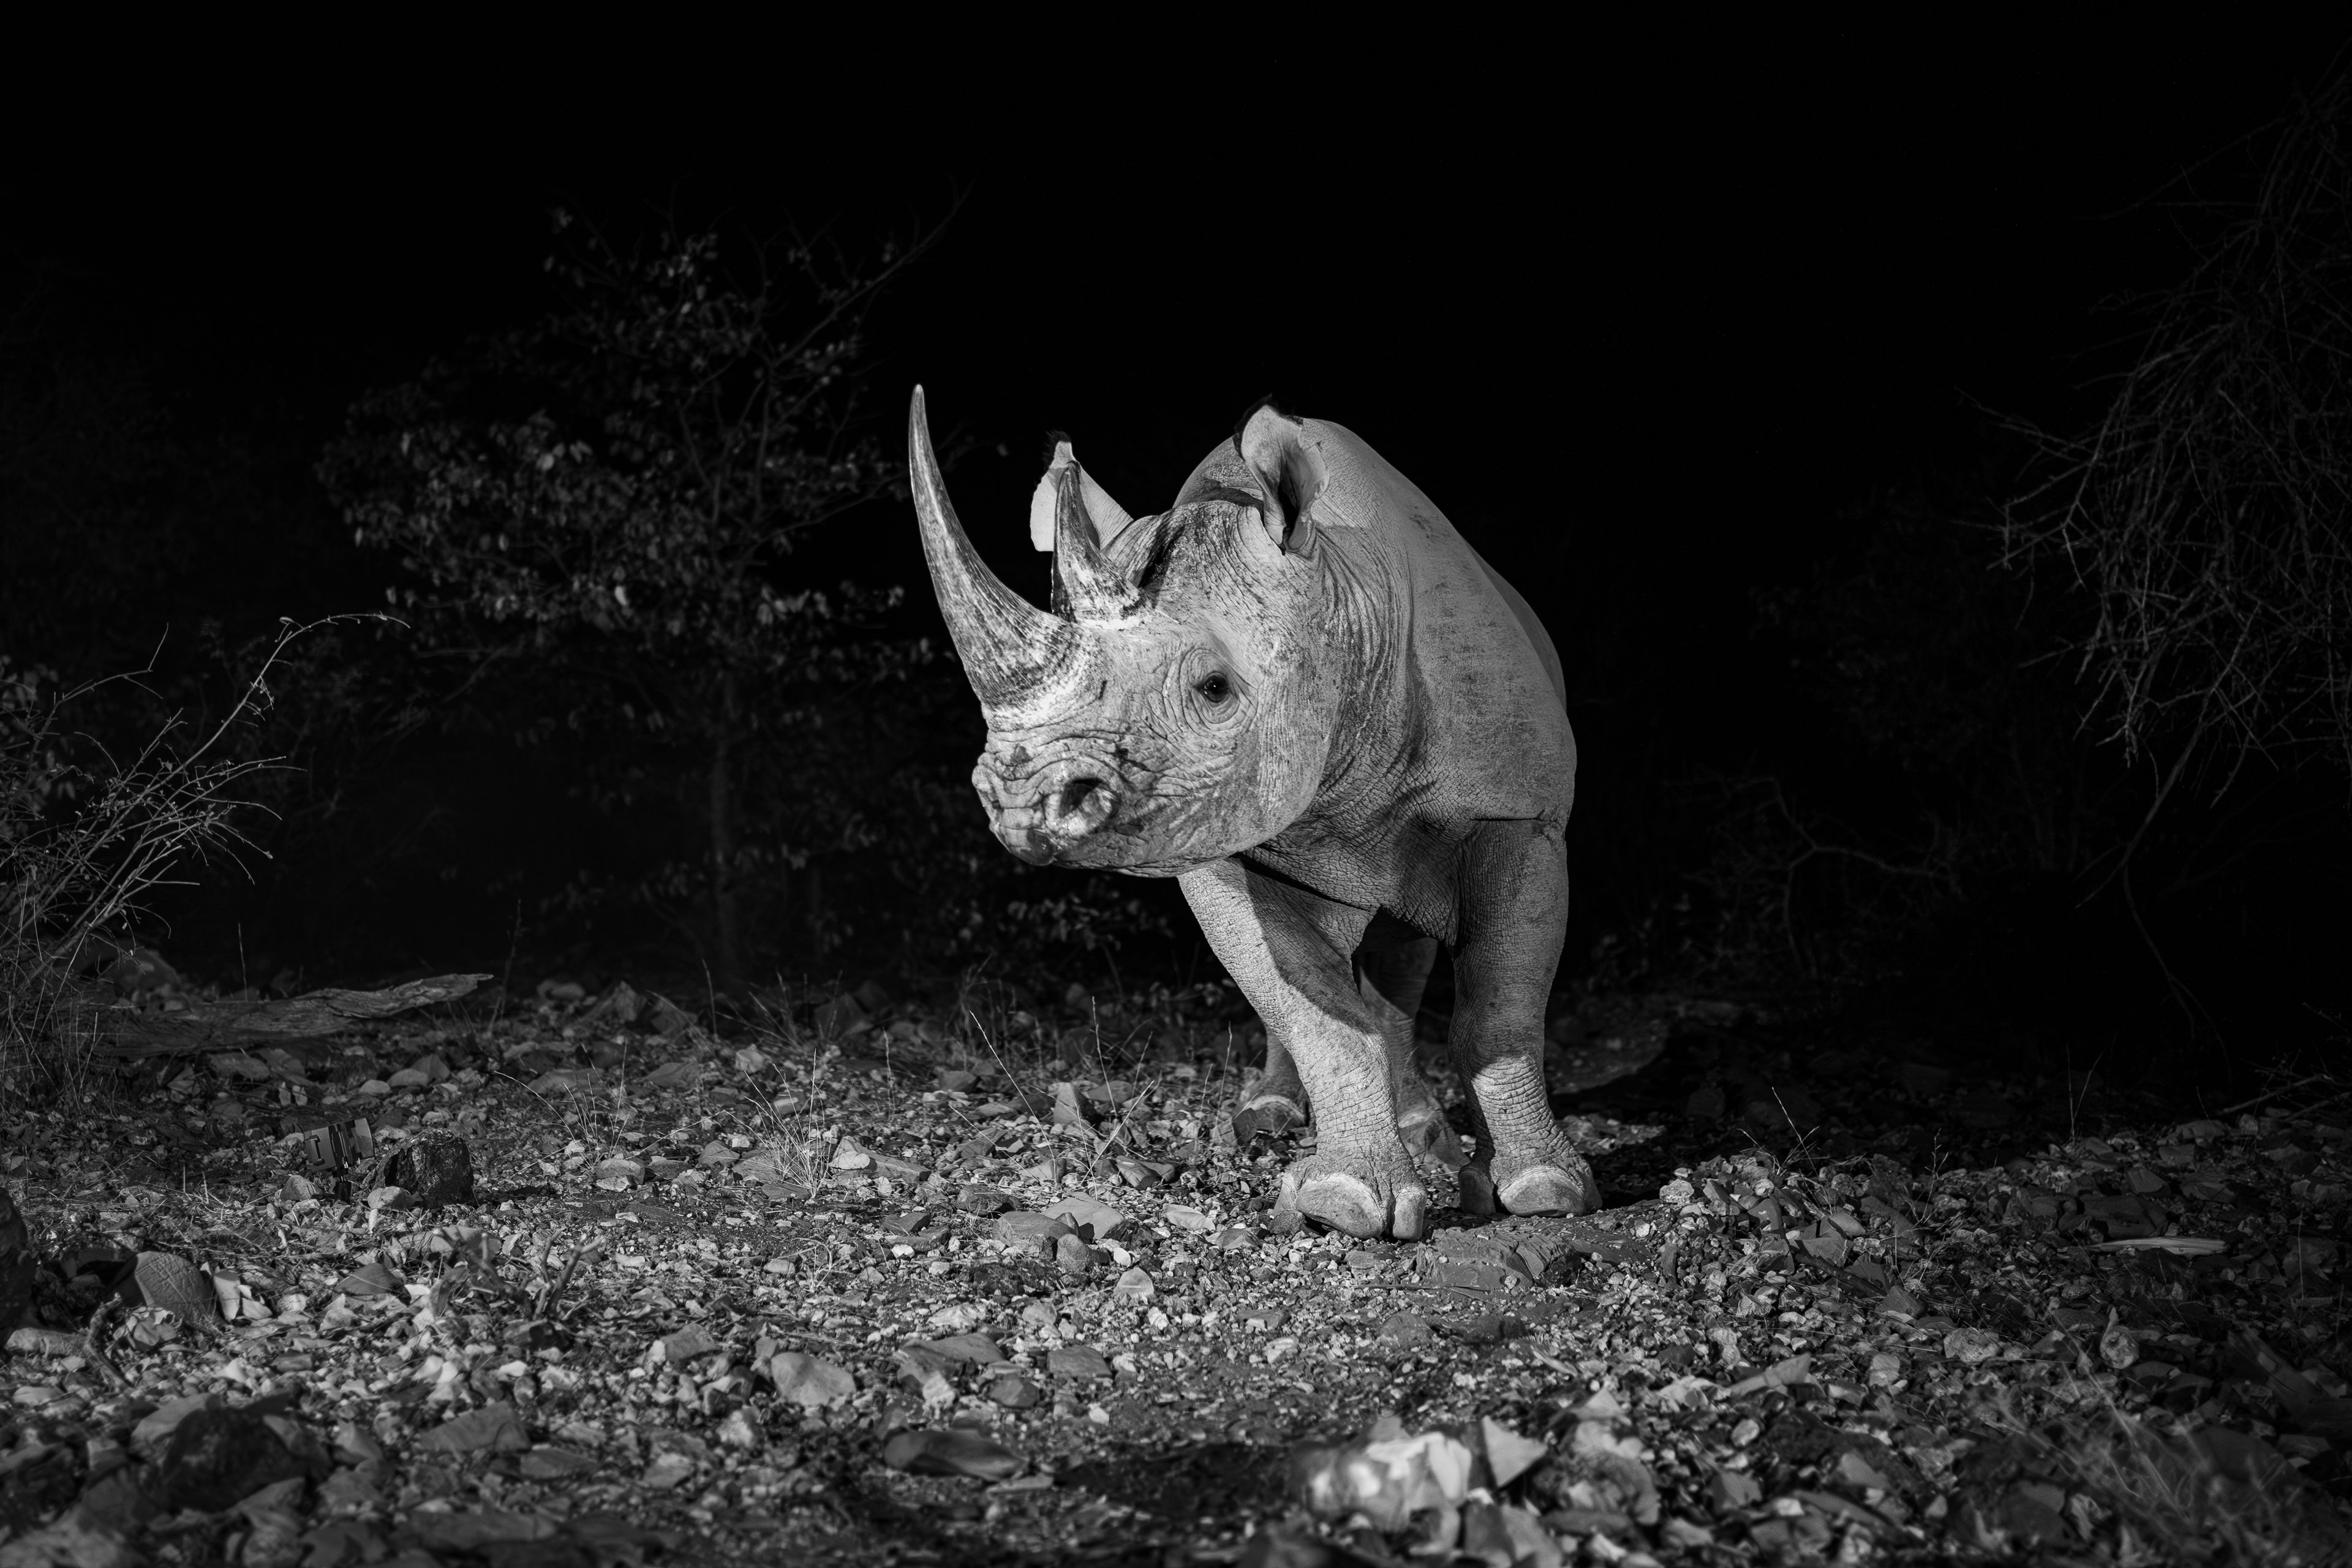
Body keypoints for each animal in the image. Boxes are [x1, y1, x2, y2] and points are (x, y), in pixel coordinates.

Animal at [908, 387, 1594, 1240]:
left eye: (1213, 688)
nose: (1019, 800)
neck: (1341, 599)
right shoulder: (1217, 839)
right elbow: (1314, 1011)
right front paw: (1347, 1203)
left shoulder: (1522, 817)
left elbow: (1500, 1011)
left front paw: (1545, 1189)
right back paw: (1271, 1117)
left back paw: (1422, 1130)